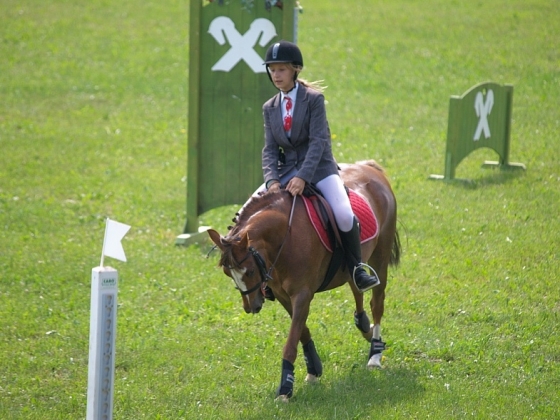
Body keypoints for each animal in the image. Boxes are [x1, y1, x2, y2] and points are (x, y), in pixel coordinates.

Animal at [208, 160, 400, 400]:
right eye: (228, 273)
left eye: (250, 271)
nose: (251, 307)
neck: (284, 237)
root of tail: (370, 167)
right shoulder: (282, 294)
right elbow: (301, 330)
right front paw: (314, 369)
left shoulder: (302, 294)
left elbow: (292, 339)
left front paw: (285, 388)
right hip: (353, 264)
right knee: (356, 286)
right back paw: (365, 326)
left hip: (380, 256)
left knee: (377, 303)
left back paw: (375, 353)